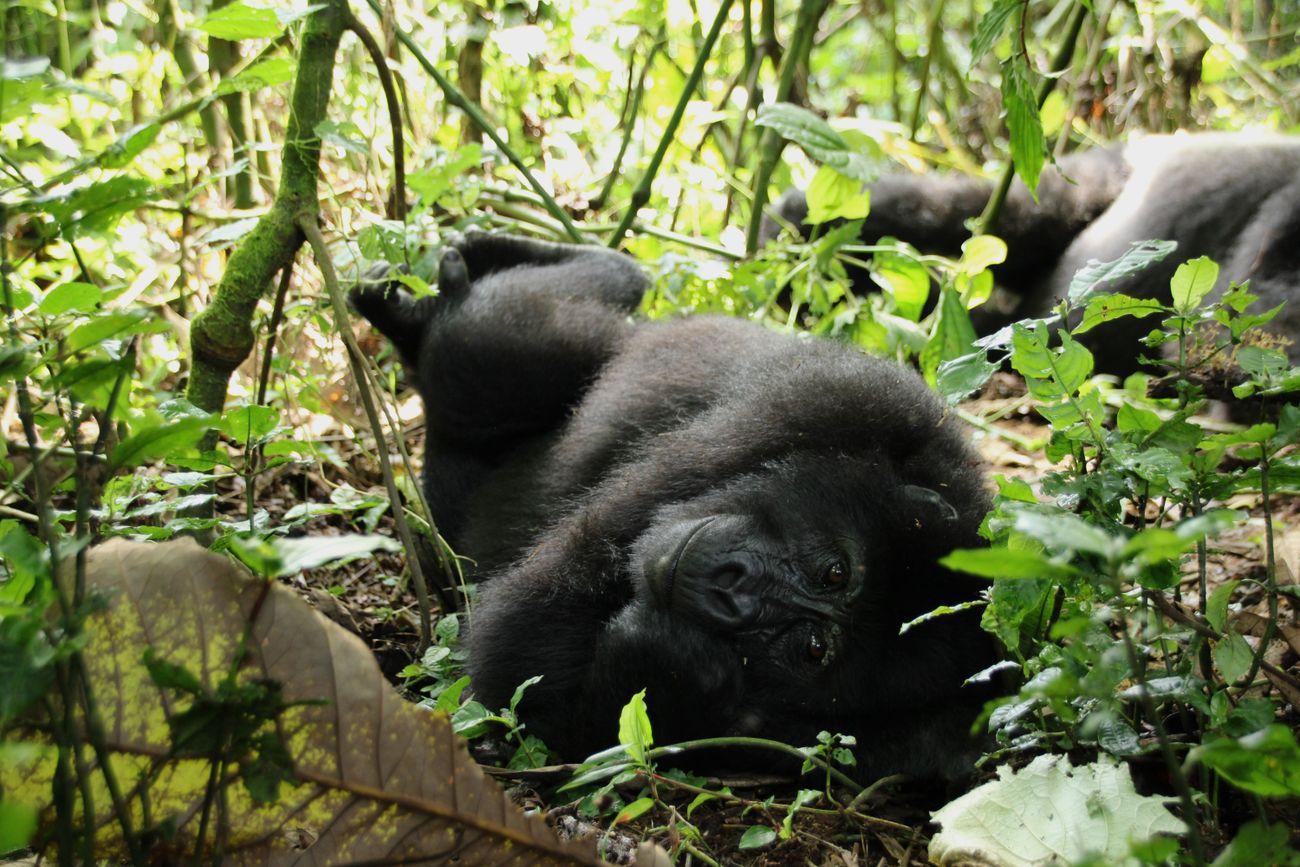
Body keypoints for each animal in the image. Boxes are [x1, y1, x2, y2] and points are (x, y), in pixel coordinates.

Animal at [353, 232, 993, 779]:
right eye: (835, 571)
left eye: (813, 650)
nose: (729, 590)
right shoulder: (844, 399)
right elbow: (515, 643)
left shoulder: (892, 751)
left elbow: (544, 711)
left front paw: (666, 657)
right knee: (493, 351)